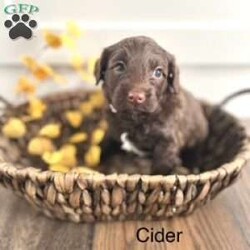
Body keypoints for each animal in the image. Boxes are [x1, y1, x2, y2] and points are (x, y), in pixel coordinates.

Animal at [94, 36, 208, 175]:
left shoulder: (167, 142)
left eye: (158, 72)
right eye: (119, 67)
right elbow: (105, 146)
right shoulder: (113, 130)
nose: (136, 97)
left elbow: (161, 167)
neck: (136, 120)